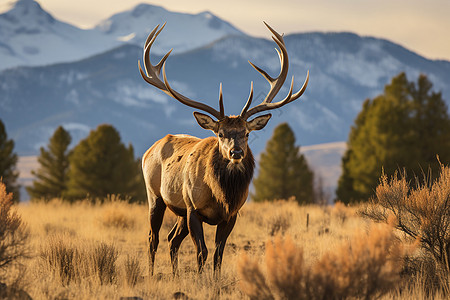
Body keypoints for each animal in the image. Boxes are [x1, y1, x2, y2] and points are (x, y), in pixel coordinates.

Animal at [139, 22, 310, 276]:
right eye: (220, 134)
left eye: (247, 133)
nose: (236, 153)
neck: (222, 195)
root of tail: (149, 150)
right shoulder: (193, 208)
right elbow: (202, 251)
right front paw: (201, 280)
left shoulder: (232, 214)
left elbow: (218, 253)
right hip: (155, 195)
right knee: (154, 238)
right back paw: (151, 274)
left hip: (178, 210)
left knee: (172, 240)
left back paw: (175, 275)